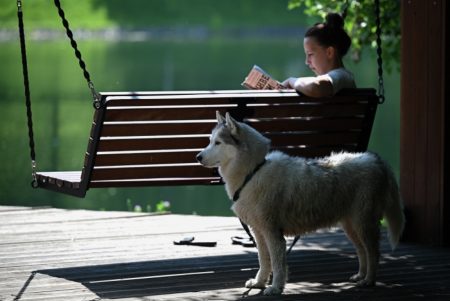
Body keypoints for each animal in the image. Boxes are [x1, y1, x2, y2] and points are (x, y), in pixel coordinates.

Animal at [196, 111, 404, 294]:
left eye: (218, 142)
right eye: (209, 141)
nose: (197, 157)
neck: (254, 171)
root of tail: (376, 159)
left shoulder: (273, 233)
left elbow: (278, 265)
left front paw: (275, 288)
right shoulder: (259, 231)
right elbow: (264, 261)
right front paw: (259, 283)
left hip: (363, 224)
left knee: (374, 253)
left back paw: (369, 280)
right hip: (350, 226)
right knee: (362, 252)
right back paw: (360, 276)